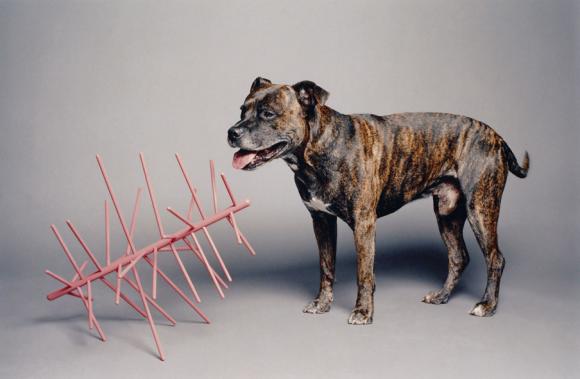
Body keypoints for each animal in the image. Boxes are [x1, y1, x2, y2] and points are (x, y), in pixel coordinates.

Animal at [227, 78, 532, 326]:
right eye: (242, 110)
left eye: (268, 114)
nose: (231, 132)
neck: (318, 146)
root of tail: (497, 137)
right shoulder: (322, 220)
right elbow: (326, 267)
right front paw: (322, 304)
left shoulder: (363, 224)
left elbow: (364, 273)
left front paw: (363, 312)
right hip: (448, 213)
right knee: (459, 257)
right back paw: (441, 296)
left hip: (480, 207)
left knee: (495, 258)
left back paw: (487, 305)